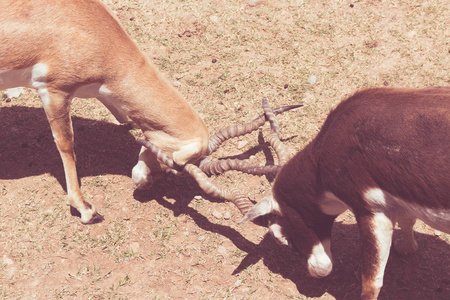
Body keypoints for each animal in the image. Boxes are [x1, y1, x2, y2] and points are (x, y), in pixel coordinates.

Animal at [1, 0, 300, 223]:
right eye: (174, 168)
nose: (142, 183)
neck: (91, 30)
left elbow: (124, 119)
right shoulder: (55, 91)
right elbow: (66, 143)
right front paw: (85, 209)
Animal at [243, 88, 450, 298]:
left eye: (279, 237)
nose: (319, 270)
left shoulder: (372, 211)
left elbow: (371, 283)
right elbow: (407, 220)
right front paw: (406, 248)